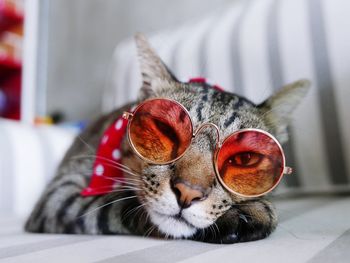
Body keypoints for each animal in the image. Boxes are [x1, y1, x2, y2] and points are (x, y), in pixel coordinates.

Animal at [25, 33, 308, 245]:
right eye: (165, 130)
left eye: (244, 159)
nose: (188, 192)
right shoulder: (59, 196)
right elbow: (115, 205)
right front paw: (244, 217)